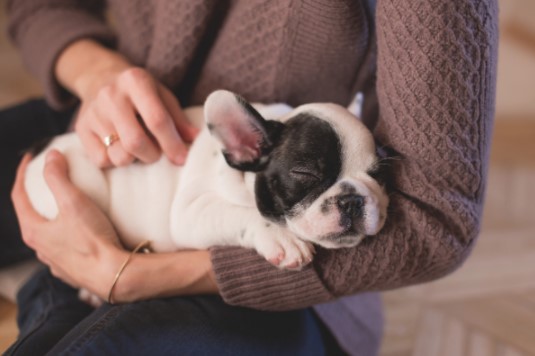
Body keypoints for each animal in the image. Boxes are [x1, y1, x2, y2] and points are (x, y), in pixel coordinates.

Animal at [23, 89, 390, 272]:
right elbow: (242, 214)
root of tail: (41, 148)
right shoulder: (191, 212)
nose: (353, 199)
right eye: (306, 174)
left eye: (378, 174)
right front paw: (282, 239)